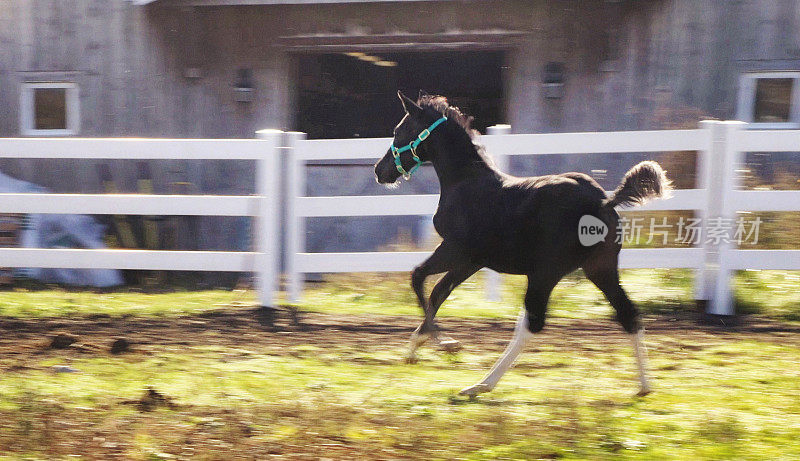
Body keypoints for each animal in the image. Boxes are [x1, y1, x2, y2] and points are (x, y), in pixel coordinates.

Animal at [374, 90, 668, 396]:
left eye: (398, 130)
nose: (379, 170)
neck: (466, 183)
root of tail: (603, 201)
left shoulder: (456, 250)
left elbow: (419, 278)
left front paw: (443, 343)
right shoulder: (473, 261)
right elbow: (438, 292)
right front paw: (423, 344)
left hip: (546, 273)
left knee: (532, 324)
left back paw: (480, 385)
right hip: (600, 269)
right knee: (629, 315)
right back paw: (645, 386)